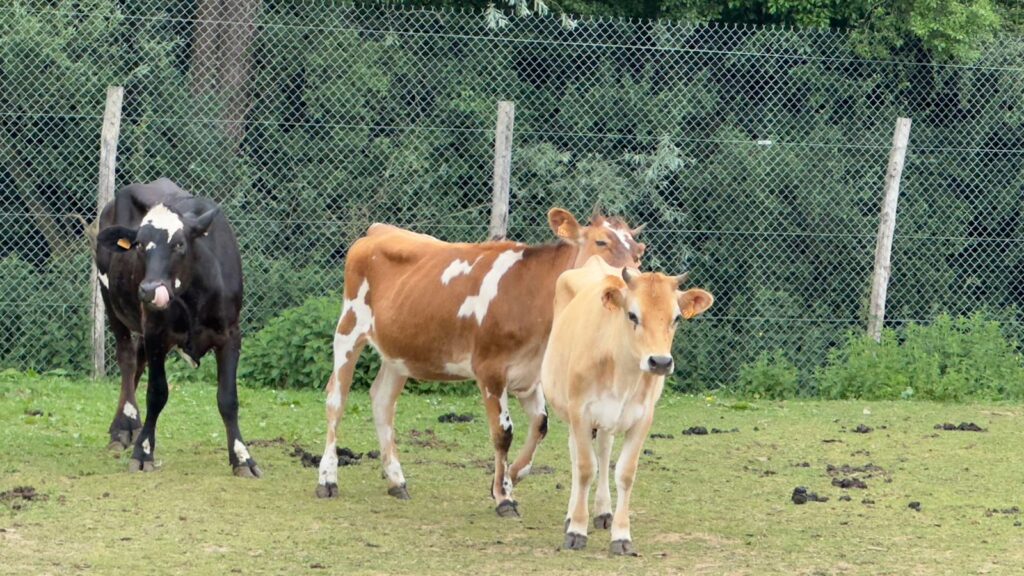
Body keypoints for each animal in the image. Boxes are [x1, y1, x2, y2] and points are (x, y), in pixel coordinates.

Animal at [94, 178, 260, 478]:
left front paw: (242, 458)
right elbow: (157, 393)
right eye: (139, 245)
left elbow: (228, 399)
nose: (149, 290)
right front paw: (144, 452)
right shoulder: (156, 334)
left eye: (180, 244)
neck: (195, 295)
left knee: (137, 363)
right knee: (127, 359)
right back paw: (123, 427)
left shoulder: (231, 334)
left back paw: (129, 426)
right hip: (111, 304)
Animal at [315, 208, 645, 516]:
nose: (631, 282)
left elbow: (540, 425)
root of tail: (378, 230)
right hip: (349, 328)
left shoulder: (530, 374)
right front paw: (504, 496)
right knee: (336, 399)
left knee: (382, 401)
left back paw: (396, 480)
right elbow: (503, 433)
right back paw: (328, 478)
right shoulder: (490, 370)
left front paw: (509, 478)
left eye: (639, 251)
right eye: (601, 242)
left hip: (398, 351)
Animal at [541, 256, 713, 555]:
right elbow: (585, 468)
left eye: (677, 318)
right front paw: (576, 530)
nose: (660, 362)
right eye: (632, 315)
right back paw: (572, 514)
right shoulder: (580, 412)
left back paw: (603, 511)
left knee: (604, 450)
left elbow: (625, 473)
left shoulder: (643, 418)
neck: (621, 371)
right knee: (577, 455)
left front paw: (621, 535)